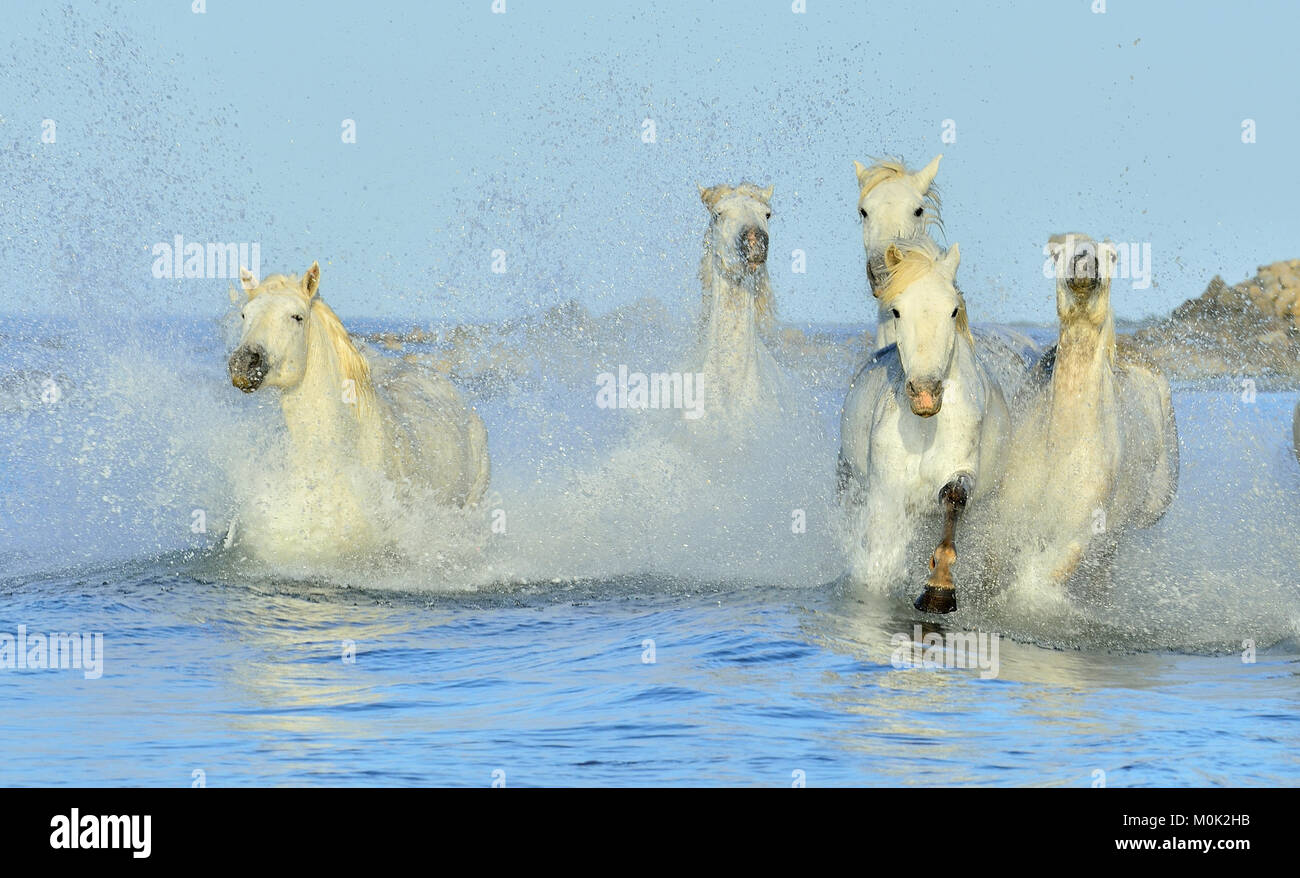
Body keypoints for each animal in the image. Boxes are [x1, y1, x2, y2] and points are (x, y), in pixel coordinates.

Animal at [837, 238, 1011, 613]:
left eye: (953, 310)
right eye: (897, 311)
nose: (925, 394)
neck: (924, 431)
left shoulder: (960, 472)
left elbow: (954, 497)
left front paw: (938, 589)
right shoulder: (885, 493)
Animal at [987, 234, 1179, 599]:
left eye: (1113, 255)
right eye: (1056, 252)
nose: (1085, 260)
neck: (1060, 446)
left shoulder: (1078, 527)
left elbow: (1041, 577)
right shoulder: (1009, 514)